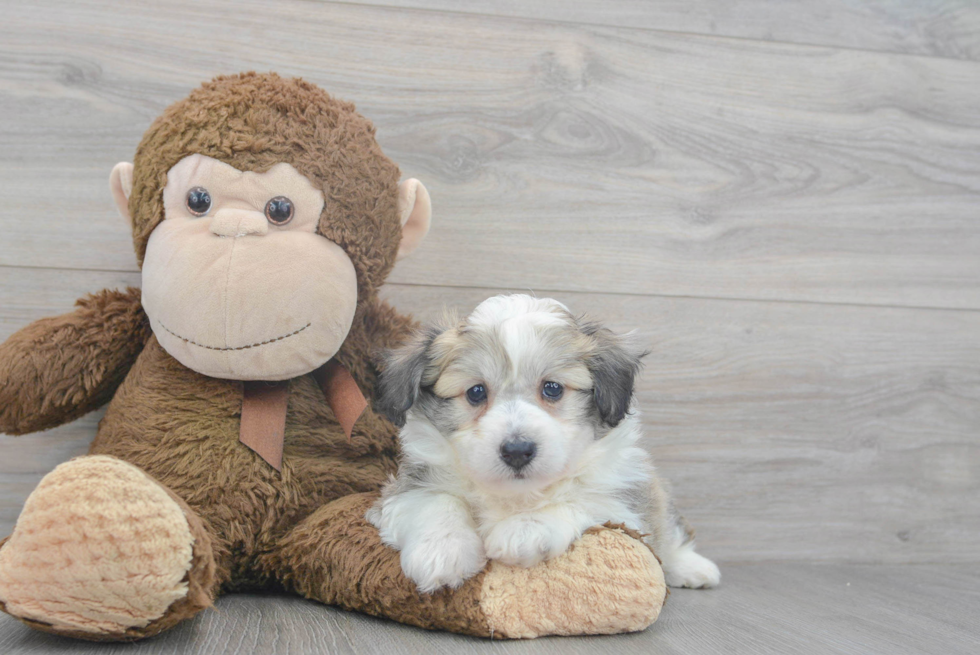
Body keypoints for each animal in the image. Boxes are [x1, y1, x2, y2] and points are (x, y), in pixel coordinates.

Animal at [368, 296, 720, 596]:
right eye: (476, 392)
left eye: (552, 388)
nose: (517, 450)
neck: (516, 494)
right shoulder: (407, 485)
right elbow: (435, 500)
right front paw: (441, 550)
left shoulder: (625, 504)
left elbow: (583, 499)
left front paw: (526, 528)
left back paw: (692, 567)